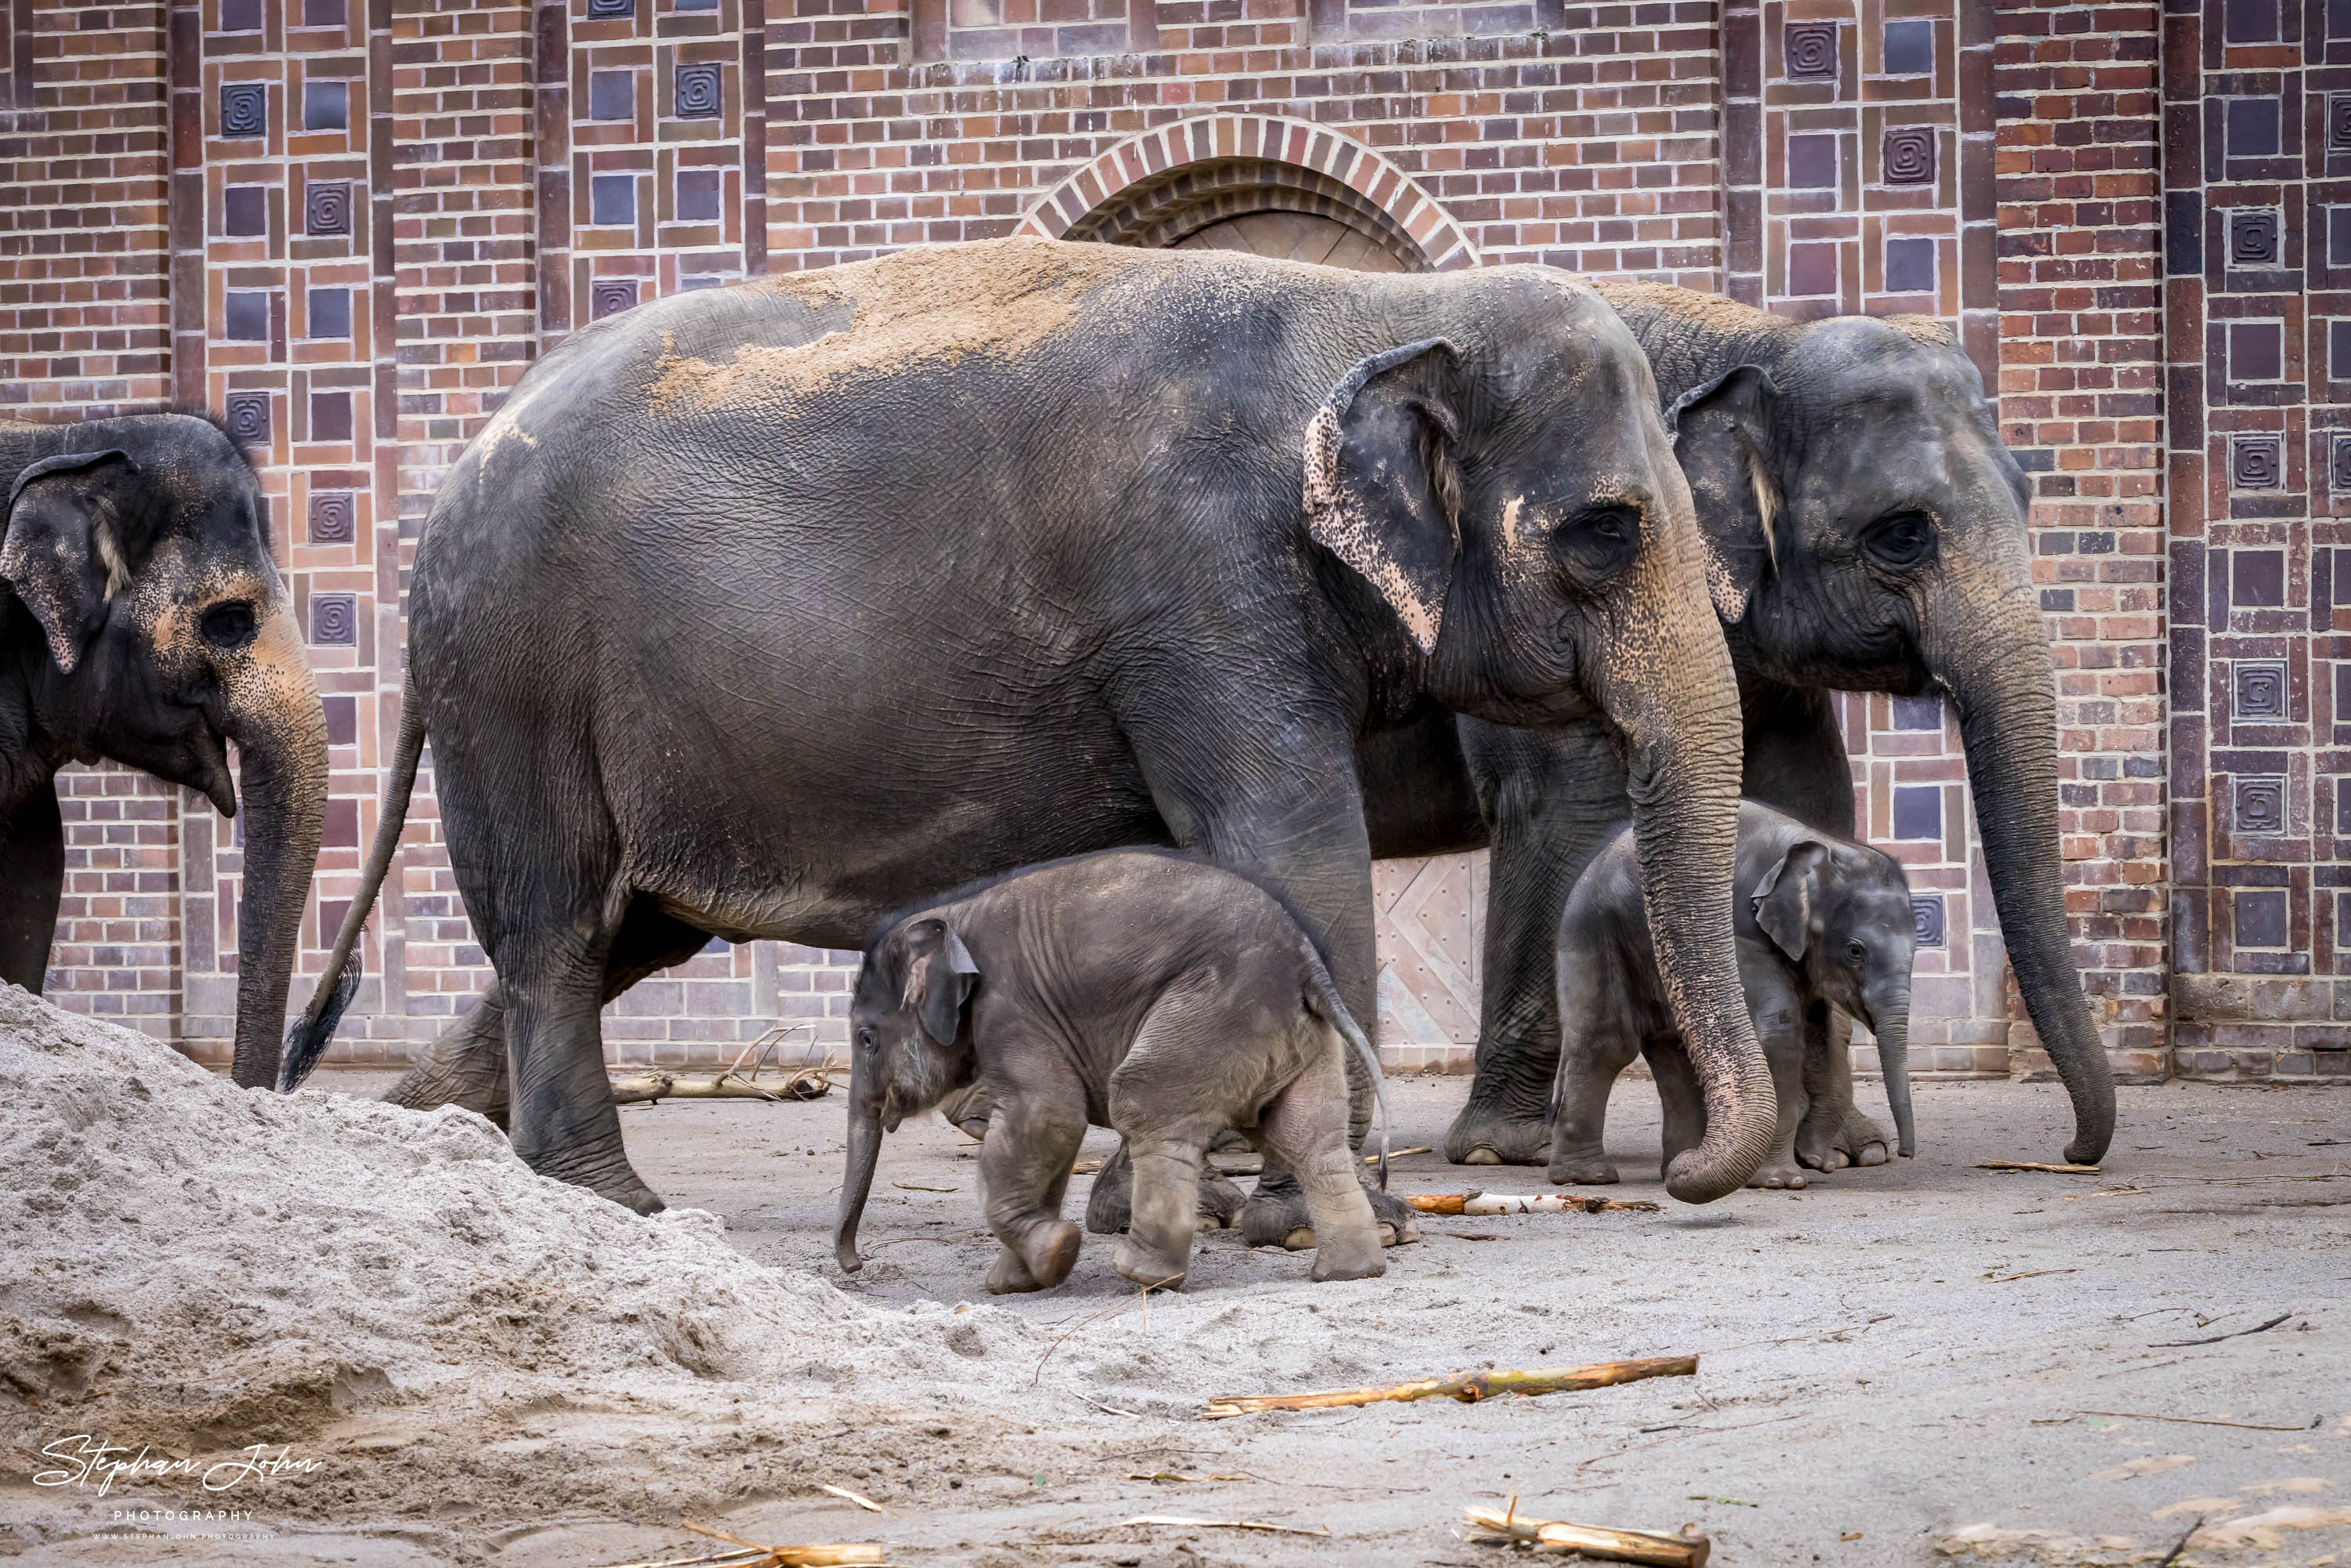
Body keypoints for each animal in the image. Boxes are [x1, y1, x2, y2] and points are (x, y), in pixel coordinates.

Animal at [284, 240, 1768, 1222]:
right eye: (1606, 532)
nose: (1689, 1180)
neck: (1379, 308)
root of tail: (451, 492)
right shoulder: (1196, 587)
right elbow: (1286, 843)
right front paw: (1332, 1213)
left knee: (615, 931)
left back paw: (423, 1139)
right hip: (516, 679)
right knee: (552, 927)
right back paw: (616, 1201)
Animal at [837, 851, 1382, 1298]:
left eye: (865, 1038)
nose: (855, 1266)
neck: (954, 915)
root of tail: (1306, 960)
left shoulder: (1011, 1009)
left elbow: (1047, 1118)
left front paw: (1056, 1250)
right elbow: (1050, 1141)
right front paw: (1018, 1281)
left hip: (1212, 1011)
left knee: (1146, 1106)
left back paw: (1144, 1274)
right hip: (1297, 1037)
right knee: (1307, 1138)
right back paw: (1348, 1273)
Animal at [1439, 282, 2125, 1175]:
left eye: (2028, 499)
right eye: (1902, 534)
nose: (2073, 1151)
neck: (1757, 341)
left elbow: (1809, 794)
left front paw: (1854, 1151)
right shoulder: (1560, 595)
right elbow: (1561, 815)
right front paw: (1496, 1150)